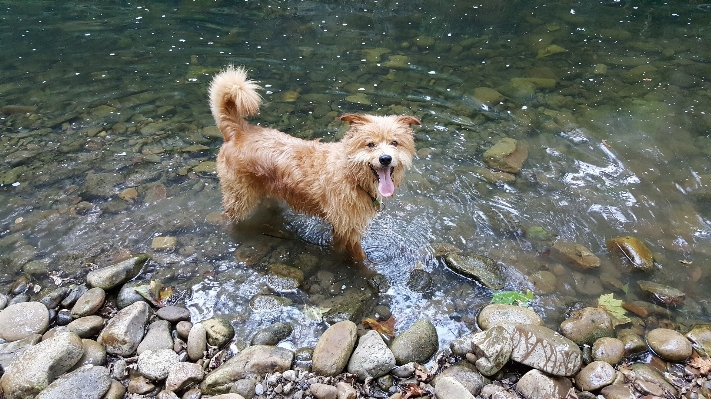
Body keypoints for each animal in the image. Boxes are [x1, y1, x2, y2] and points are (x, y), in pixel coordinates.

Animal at [209, 66, 420, 260]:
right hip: (240, 199)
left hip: (270, 195)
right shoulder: (346, 228)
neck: (351, 175)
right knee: (228, 217)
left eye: (395, 143)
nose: (385, 158)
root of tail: (240, 131)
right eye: (370, 144)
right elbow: (358, 257)